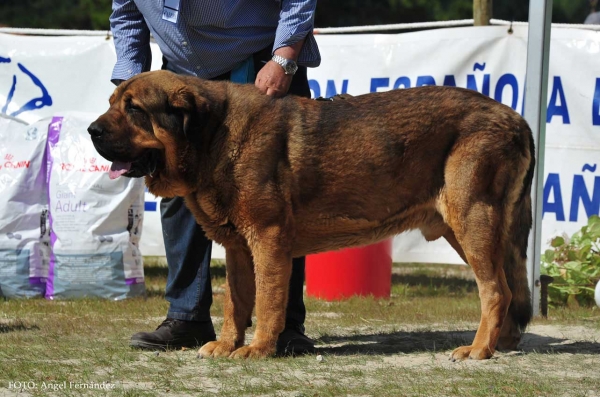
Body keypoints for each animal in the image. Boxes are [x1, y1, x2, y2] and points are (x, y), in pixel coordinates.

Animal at [89, 69, 536, 360]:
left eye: (133, 109)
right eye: (111, 104)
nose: (92, 130)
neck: (212, 136)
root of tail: (516, 117)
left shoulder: (268, 240)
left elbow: (269, 301)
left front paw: (258, 349)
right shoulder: (238, 248)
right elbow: (236, 302)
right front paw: (228, 344)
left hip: (472, 219)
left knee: (495, 290)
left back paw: (479, 349)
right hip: (468, 231)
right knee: (508, 287)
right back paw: (503, 342)